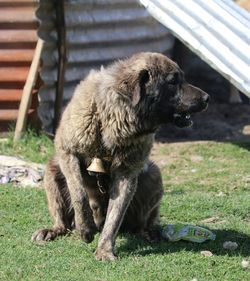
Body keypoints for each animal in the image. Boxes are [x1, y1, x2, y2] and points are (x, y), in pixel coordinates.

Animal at [31, 52, 209, 260]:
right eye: (173, 81)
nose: (207, 98)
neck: (110, 116)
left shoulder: (127, 172)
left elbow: (115, 216)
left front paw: (105, 249)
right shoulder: (68, 152)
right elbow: (79, 194)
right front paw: (85, 230)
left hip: (153, 175)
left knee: (141, 223)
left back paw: (149, 232)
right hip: (52, 169)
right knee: (64, 222)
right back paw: (53, 230)